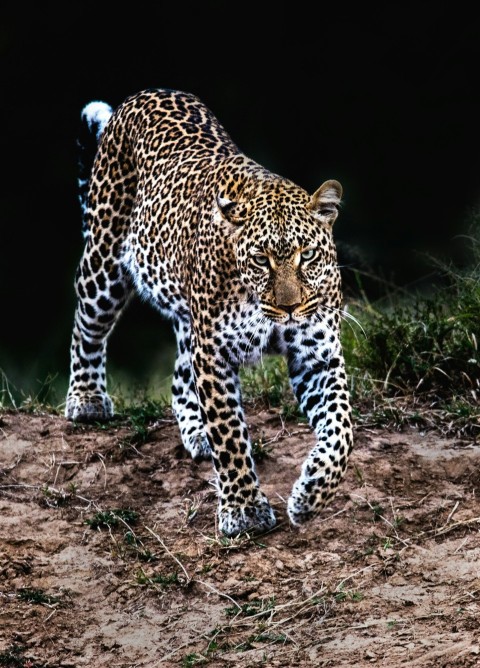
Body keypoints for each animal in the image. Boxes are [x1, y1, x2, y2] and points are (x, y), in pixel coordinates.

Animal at [65, 87, 354, 537]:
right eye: (260, 260)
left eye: (307, 255)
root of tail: (145, 94)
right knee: (87, 329)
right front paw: (244, 510)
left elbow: (342, 429)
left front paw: (310, 495)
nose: (289, 308)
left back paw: (196, 430)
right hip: (104, 264)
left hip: (189, 320)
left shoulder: (318, 355)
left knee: (180, 376)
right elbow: (231, 435)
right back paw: (87, 399)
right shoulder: (215, 354)